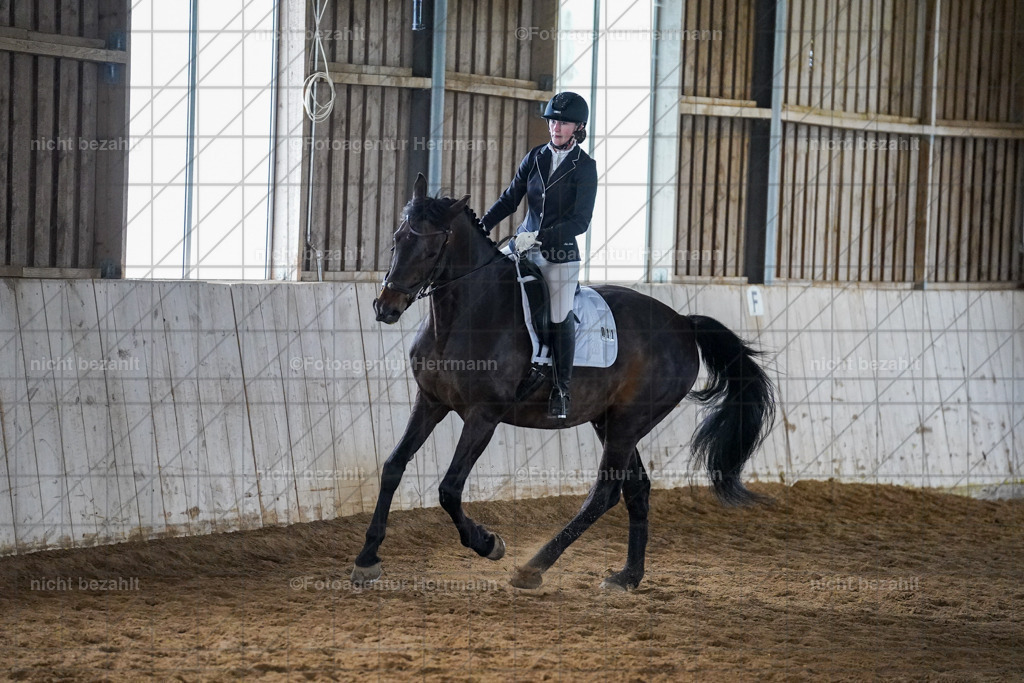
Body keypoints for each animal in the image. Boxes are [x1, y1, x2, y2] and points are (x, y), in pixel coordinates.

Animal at [352, 173, 776, 591]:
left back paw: (533, 568)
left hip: (628, 422)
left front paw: (488, 543)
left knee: (605, 493)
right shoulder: (430, 401)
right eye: (397, 239)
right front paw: (367, 558)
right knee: (636, 489)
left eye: (430, 250)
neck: (466, 315)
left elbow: (449, 489)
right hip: (610, 420)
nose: (385, 307)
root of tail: (684, 323)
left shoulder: (483, 416)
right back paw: (628, 576)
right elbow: (393, 466)